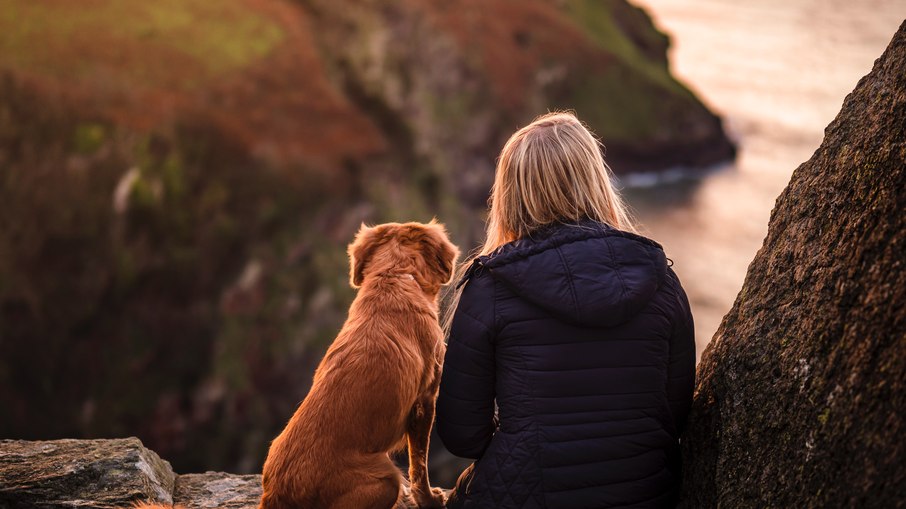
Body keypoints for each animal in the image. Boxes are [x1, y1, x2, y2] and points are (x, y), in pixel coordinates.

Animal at [260, 219, 460, 508]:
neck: (393, 276)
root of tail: (275, 495)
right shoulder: (425, 400)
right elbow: (419, 464)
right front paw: (430, 499)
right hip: (385, 478)